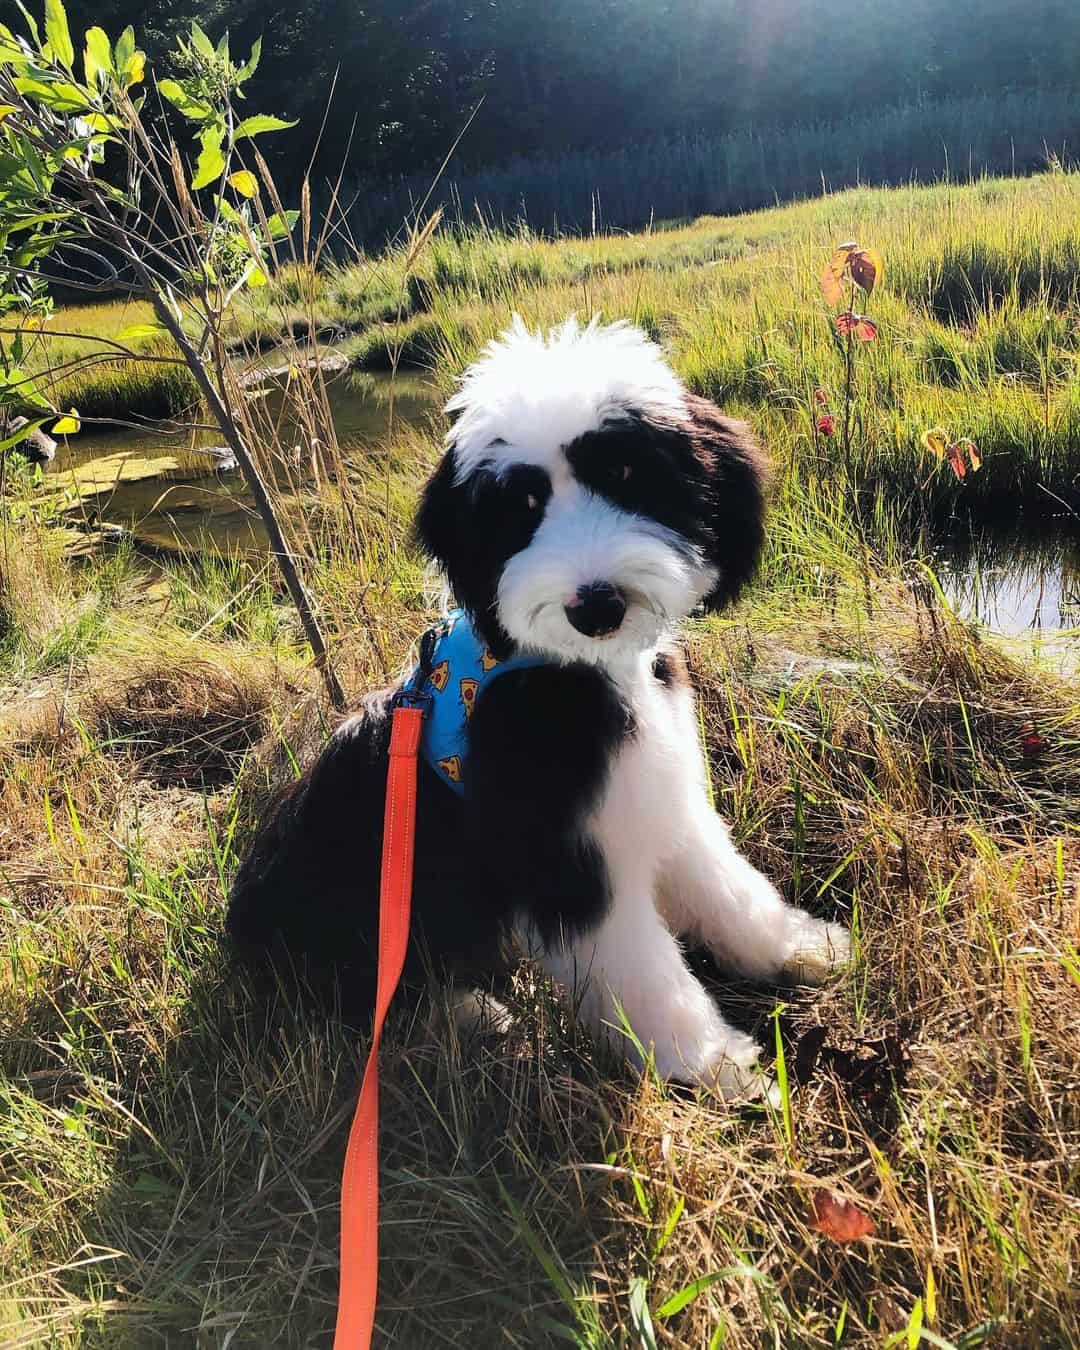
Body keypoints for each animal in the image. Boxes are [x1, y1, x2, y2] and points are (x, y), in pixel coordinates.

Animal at [229, 315, 853, 1096]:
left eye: (625, 475)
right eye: (523, 506)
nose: (597, 605)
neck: (575, 670)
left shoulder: (657, 791)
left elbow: (726, 885)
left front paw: (797, 948)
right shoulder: (563, 858)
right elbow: (641, 968)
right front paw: (710, 1064)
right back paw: (468, 1014)